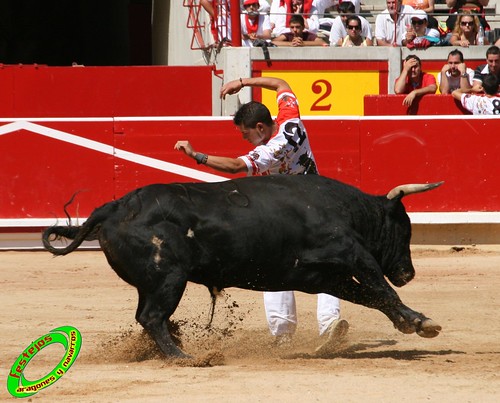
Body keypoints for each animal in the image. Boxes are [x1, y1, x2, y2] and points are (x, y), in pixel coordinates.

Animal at [42, 175, 442, 358]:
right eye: (403, 228)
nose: (408, 273)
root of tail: (115, 206)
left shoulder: (321, 277)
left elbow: (371, 295)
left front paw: (411, 323)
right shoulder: (352, 254)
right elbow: (380, 287)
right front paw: (422, 322)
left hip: (151, 282)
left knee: (147, 317)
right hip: (169, 278)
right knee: (153, 317)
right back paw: (183, 357)